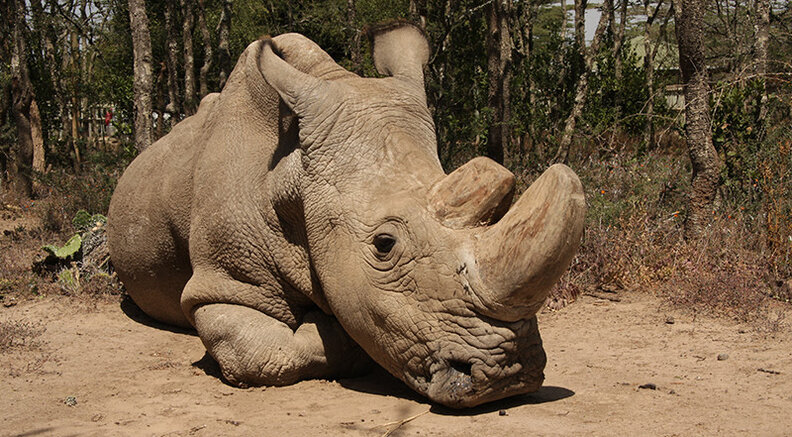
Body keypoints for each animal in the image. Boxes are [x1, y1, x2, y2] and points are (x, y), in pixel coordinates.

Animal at [107, 23, 585, 408]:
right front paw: (329, 327)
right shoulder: (223, 284)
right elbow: (261, 355)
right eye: (384, 245)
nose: (510, 376)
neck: (293, 179)